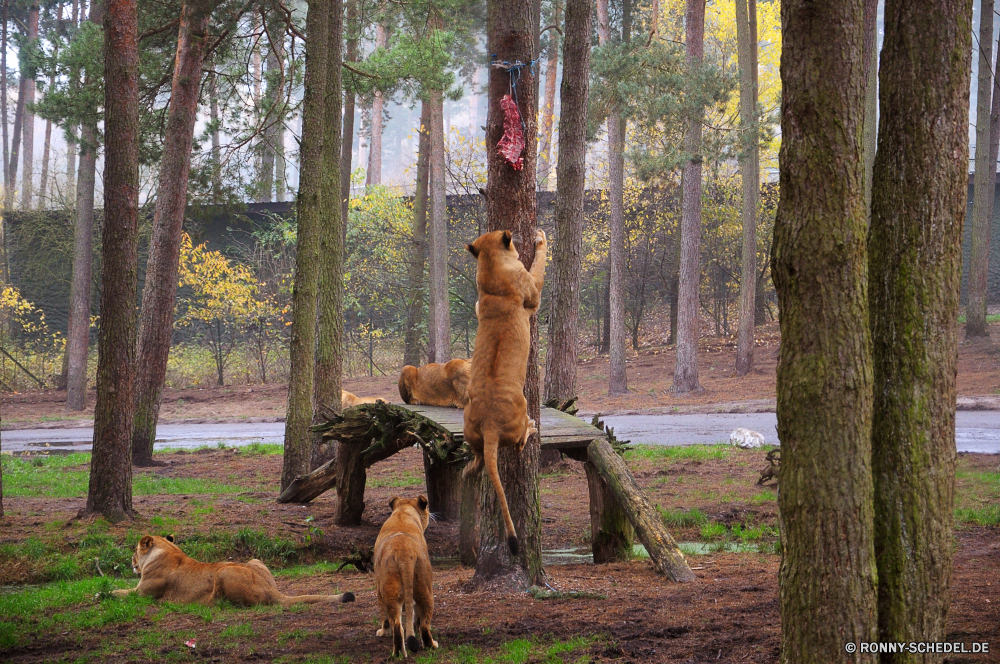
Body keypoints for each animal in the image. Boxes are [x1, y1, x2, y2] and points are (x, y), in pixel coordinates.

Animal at [112, 536, 356, 608]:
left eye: (134, 551)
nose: (132, 562)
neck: (167, 550)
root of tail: (271, 590)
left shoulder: (142, 594)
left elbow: (119, 592)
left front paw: (107, 593)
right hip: (254, 559)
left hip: (223, 571)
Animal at [376, 496, 438, 656]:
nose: (430, 512)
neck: (403, 512)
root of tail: (405, 552)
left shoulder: (378, 586)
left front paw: (383, 632)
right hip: (426, 588)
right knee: (424, 625)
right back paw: (432, 645)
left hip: (391, 590)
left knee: (397, 625)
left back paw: (398, 653)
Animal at [462, 228, 548, 556]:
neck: (491, 268)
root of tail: (489, 425)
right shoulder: (532, 292)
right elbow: (539, 266)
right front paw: (540, 238)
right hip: (521, 408)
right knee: (521, 441)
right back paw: (533, 428)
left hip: (470, 431)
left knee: (477, 461)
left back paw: (467, 470)